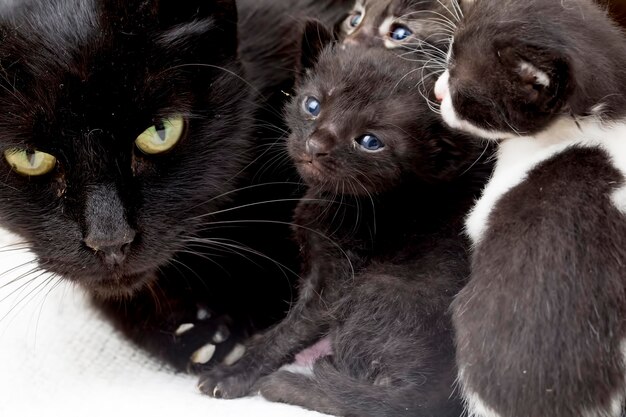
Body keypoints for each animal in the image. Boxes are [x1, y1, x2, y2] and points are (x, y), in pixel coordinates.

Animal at [197, 22, 490, 416]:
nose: (315, 145)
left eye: (369, 141)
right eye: (312, 105)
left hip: (374, 288)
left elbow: (290, 330)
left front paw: (233, 375)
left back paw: (291, 383)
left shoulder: (336, 282)